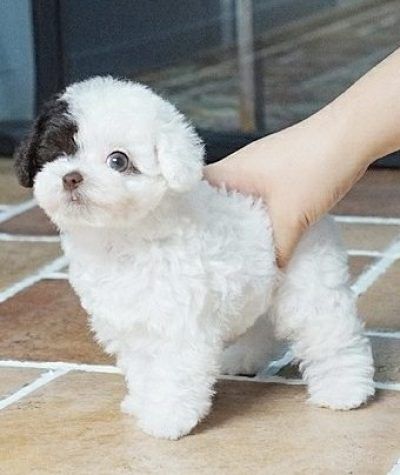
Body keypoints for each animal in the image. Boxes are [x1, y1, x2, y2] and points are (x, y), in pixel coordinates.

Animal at [13, 76, 376, 440]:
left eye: (118, 161)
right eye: (57, 153)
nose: (71, 177)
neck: (125, 236)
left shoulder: (178, 324)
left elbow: (173, 373)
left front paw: (166, 418)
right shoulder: (131, 325)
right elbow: (143, 368)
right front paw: (142, 402)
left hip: (309, 284)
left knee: (331, 335)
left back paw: (345, 389)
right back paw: (243, 358)